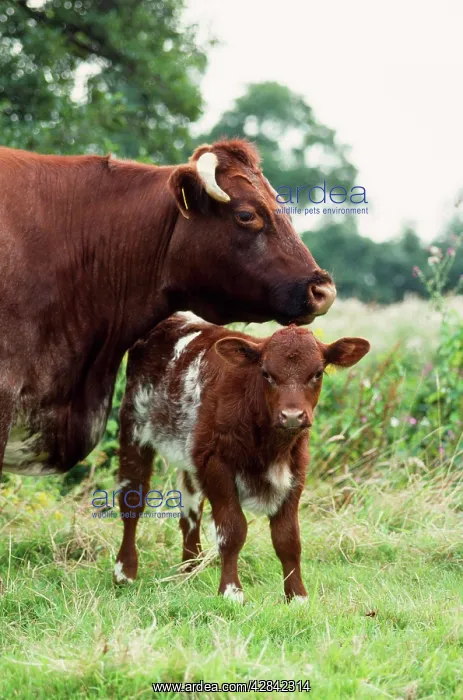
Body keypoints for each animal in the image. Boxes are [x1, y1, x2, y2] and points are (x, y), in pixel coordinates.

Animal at [115, 312, 370, 601]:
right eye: (266, 373)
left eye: (317, 373)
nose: (292, 416)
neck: (270, 445)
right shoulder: (217, 464)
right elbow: (232, 530)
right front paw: (231, 591)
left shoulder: (296, 469)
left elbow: (288, 537)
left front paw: (297, 596)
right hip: (134, 429)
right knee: (132, 499)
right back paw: (125, 571)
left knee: (190, 510)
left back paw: (189, 569)